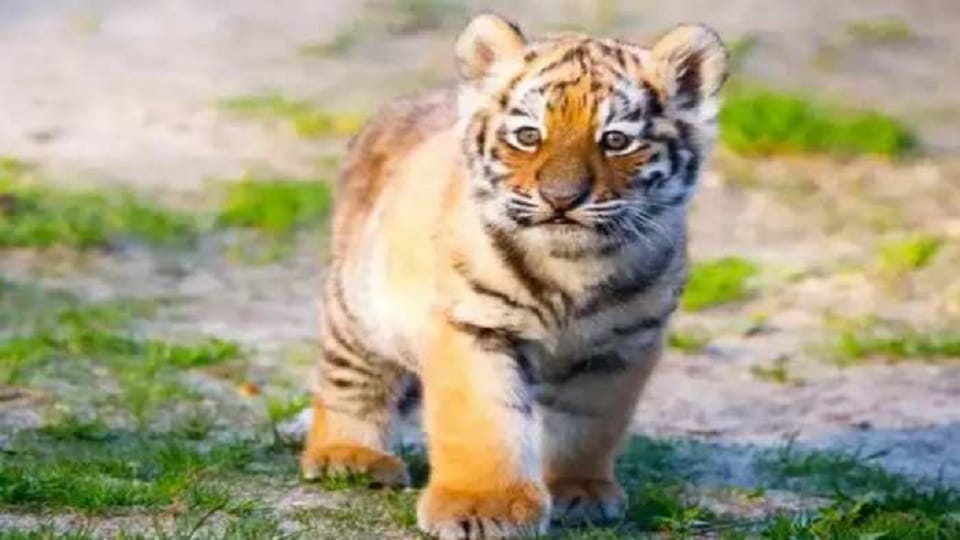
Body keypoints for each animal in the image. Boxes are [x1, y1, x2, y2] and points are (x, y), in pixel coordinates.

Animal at [301, 13, 727, 539]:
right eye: (528, 136)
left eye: (616, 140)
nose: (562, 199)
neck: (573, 268)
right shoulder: (472, 325)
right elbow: (484, 422)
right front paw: (482, 507)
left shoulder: (620, 346)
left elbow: (589, 423)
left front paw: (578, 491)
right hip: (358, 310)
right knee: (349, 381)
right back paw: (350, 455)